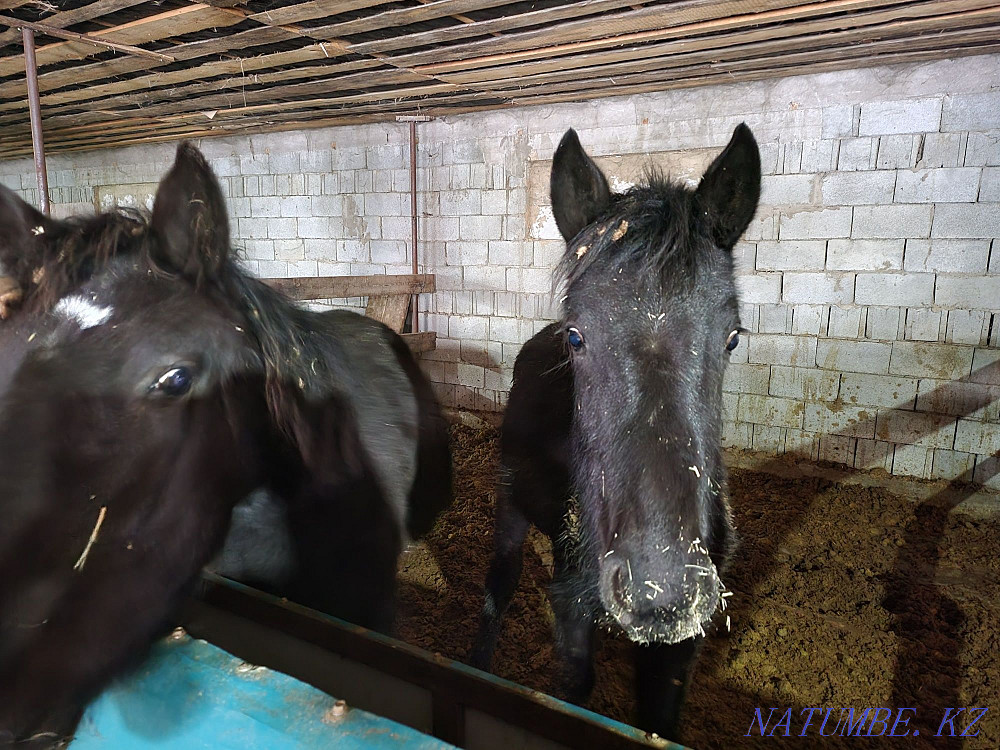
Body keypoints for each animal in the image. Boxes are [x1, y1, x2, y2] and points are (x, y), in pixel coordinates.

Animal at [470, 123, 761, 740]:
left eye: (731, 337)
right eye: (577, 337)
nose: (662, 593)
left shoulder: (678, 651)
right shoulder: (572, 609)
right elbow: (576, 687)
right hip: (510, 503)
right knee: (499, 584)